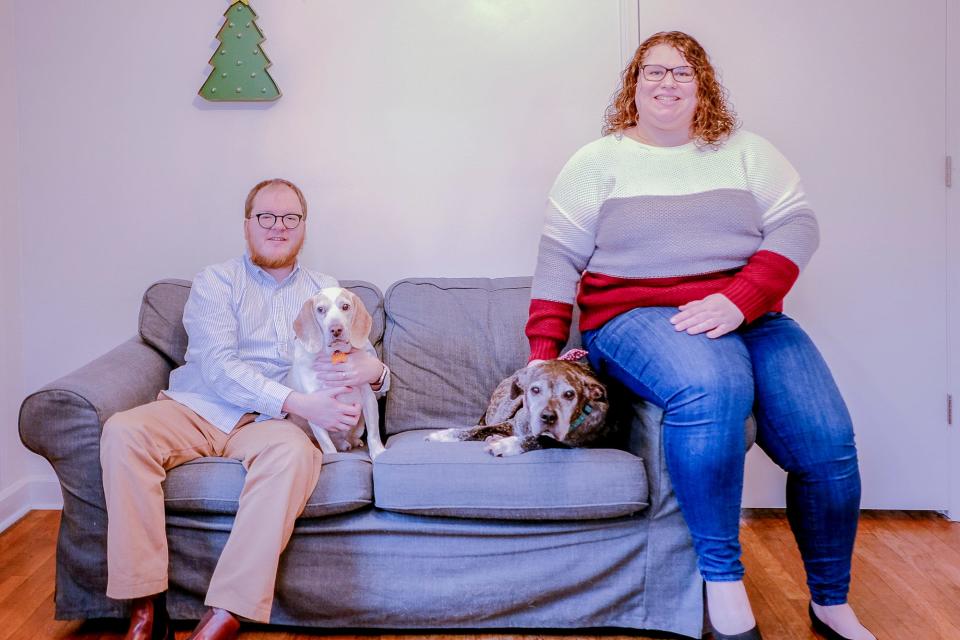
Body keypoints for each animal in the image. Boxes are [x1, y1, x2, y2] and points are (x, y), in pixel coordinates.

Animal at [286, 288, 384, 460]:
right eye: (320, 309)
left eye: (345, 306)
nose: (336, 329)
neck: (335, 355)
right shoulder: (316, 408)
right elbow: (327, 445)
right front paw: (333, 457)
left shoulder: (369, 398)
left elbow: (373, 433)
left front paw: (378, 452)